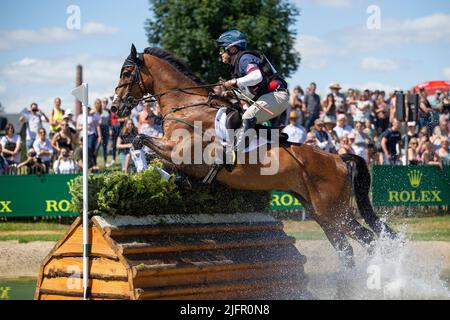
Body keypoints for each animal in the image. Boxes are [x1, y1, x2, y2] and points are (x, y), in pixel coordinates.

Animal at [110, 44, 396, 268]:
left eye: (127, 72)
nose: (114, 106)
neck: (187, 107)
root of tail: (338, 159)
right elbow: (147, 151)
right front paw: (158, 178)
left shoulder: (180, 152)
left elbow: (140, 140)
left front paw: (149, 174)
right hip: (320, 213)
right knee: (346, 249)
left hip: (335, 212)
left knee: (367, 240)